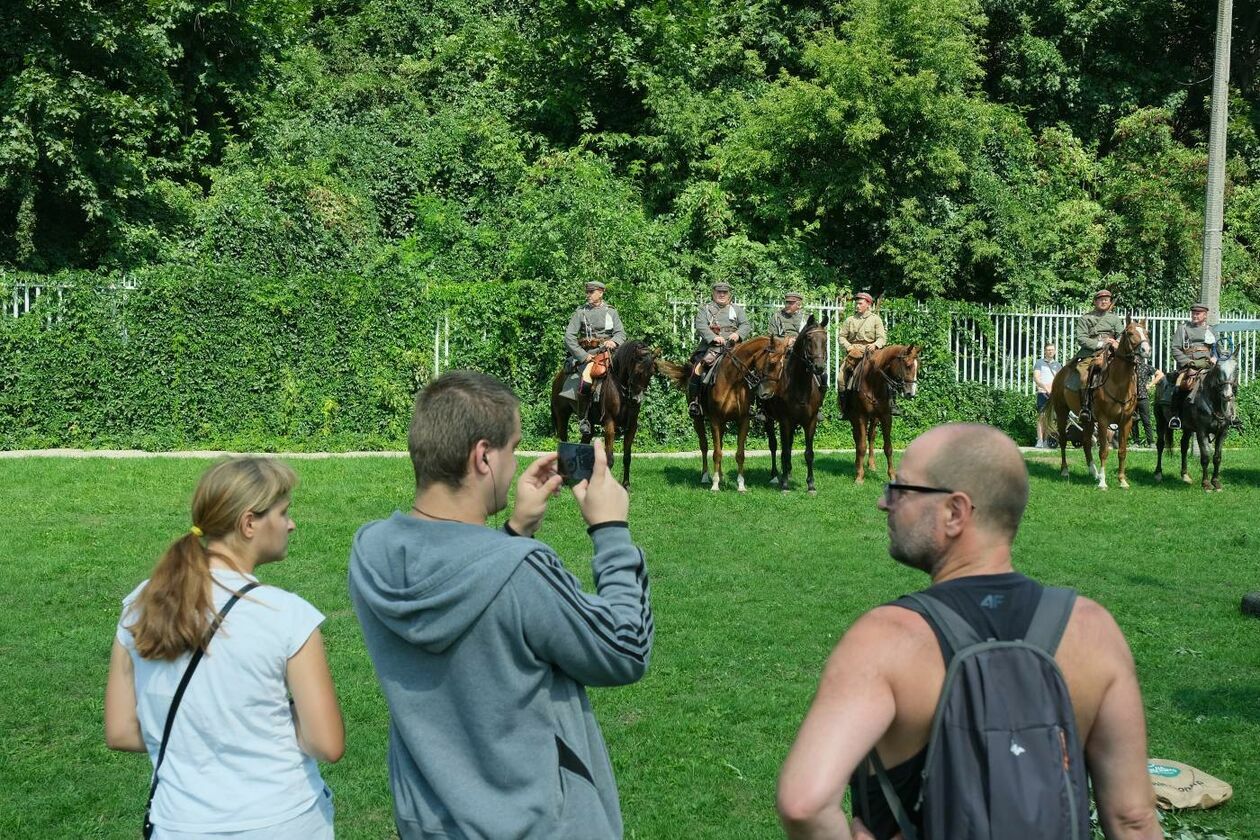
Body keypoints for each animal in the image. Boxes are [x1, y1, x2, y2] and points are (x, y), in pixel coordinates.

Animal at [549, 340, 660, 488]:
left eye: (652, 372)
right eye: (638, 371)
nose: (636, 400)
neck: (621, 389)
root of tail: (558, 377)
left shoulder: (631, 427)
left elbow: (627, 457)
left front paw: (626, 484)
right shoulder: (609, 425)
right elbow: (609, 458)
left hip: (588, 425)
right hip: (562, 416)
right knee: (563, 441)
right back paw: (563, 479)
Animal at [660, 337, 776, 493]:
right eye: (772, 362)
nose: (767, 393)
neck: (733, 380)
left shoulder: (743, 420)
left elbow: (739, 454)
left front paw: (741, 485)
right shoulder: (714, 420)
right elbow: (716, 453)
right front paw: (715, 485)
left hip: (722, 423)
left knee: (719, 443)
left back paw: (721, 476)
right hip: (698, 419)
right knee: (704, 446)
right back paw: (705, 476)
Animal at [761, 314, 831, 493]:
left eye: (825, 339)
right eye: (809, 339)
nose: (819, 367)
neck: (800, 385)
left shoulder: (810, 422)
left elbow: (809, 453)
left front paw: (811, 485)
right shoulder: (785, 421)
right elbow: (784, 451)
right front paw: (785, 484)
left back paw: (789, 471)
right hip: (769, 419)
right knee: (774, 445)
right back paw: (775, 475)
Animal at [841, 342, 922, 486]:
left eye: (918, 367)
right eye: (907, 365)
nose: (911, 393)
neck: (872, 381)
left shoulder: (885, 417)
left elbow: (888, 447)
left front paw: (892, 476)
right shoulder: (861, 416)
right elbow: (861, 446)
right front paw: (859, 477)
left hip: (874, 418)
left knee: (871, 436)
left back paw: (871, 465)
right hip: (854, 418)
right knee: (858, 438)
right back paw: (857, 465)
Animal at [1048, 318, 1149, 488]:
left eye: (1146, 332)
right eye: (1129, 333)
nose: (1146, 349)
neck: (1117, 383)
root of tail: (1060, 373)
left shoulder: (1126, 421)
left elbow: (1122, 451)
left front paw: (1122, 480)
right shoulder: (1103, 421)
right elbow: (1104, 451)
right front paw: (1103, 482)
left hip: (1087, 420)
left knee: (1086, 442)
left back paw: (1093, 472)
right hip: (1062, 413)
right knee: (1062, 440)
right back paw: (1065, 470)